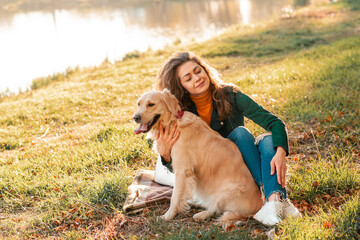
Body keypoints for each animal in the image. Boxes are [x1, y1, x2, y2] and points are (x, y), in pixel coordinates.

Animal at [132, 89, 262, 228]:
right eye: (138, 104)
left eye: (151, 104)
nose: (136, 118)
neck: (173, 122)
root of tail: (258, 209)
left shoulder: (182, 171)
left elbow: (174, 197)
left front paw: (167, 216)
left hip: (227, 193)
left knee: (218, 209)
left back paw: (202, 214)